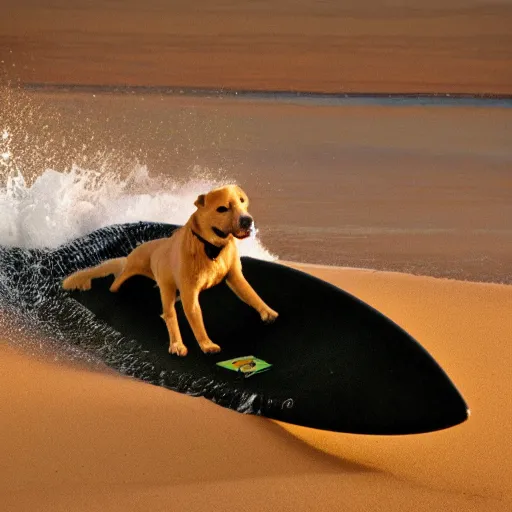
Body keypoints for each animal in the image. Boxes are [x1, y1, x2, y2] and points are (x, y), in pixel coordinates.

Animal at [64, 184, 280, 356]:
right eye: (222, 208)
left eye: (242, 201)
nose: (247, 221)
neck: (210, 248)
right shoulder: (190, 292)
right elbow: (196, 319)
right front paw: (207, 344)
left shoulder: (235, 277)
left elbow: (251, 294)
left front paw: (268, 312)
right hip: (146, 275)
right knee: (160, 308)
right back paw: (176, 344)